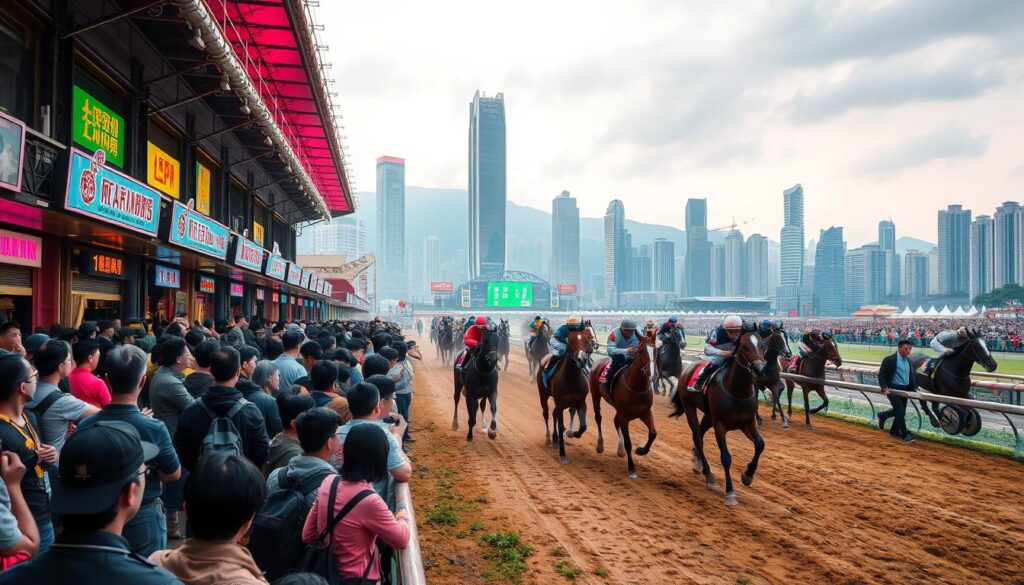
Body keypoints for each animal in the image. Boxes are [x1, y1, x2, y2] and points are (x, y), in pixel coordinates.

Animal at [536, 329, 593, 463]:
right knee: (546, 414)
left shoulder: (581, 403)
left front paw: (572, 433)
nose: (582, 359)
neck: (572, 378)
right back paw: (549, 439)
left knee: (554, 414)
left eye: (585, 339)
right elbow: (561, 426)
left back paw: (555, 439)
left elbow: (583, 426)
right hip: (543, 395)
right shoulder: (561, 404)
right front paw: (562, 455)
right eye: (571, 340)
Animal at [589, 329, 659, 481]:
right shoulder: (625, 416)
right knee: (598, 418)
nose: (651, 374)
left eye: (656, 349)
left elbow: (653, 433)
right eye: (641, 351)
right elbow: (628, 442)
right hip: (595, 395)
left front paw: (641, 450)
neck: (637, 388)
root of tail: (600, 361)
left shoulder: (645, 413)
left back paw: (620, 450)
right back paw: (600, 445)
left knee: (615, 421)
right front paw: (632, 469)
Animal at [671, 331, 770, 506]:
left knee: (700, 434)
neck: (737, 391)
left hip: (708, 416)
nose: (759, 369)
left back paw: (697, 462)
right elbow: (726, 457)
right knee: (698, 438)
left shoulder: (747, 422)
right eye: (745, 346)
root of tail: (688, 367)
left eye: (762, 346)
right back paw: (708, 474)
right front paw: (730, 492)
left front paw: (748, 475)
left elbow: (760, 444)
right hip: (689, 406)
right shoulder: (720, 425)